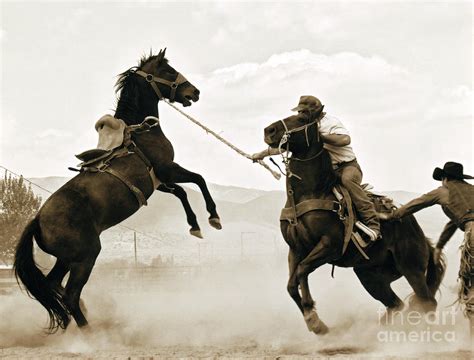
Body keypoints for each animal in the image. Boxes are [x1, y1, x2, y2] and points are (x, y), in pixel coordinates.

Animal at [14, 49, 220, 334]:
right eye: (168, 70)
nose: (194, 92)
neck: (139, 133)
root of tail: (37, 220)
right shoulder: (168, 169)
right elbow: (198, 180)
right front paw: (213, 217)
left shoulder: (159, 182)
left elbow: (182, 192)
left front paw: (195, 226)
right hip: (86, 256)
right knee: (70, 294)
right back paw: (91, 333)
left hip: (67, 259)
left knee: (54, 285)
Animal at [262, 112, 444, 334]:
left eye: (301, 118)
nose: (269, 131)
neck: (311, 193)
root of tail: (420, 234)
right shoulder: (296, 248)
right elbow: (291, 284)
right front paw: (313, 320)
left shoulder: (330, 246)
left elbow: (302, 270)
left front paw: (314, 320)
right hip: (369, 275)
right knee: (396, 304)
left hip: (412, 268)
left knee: (426, 302)